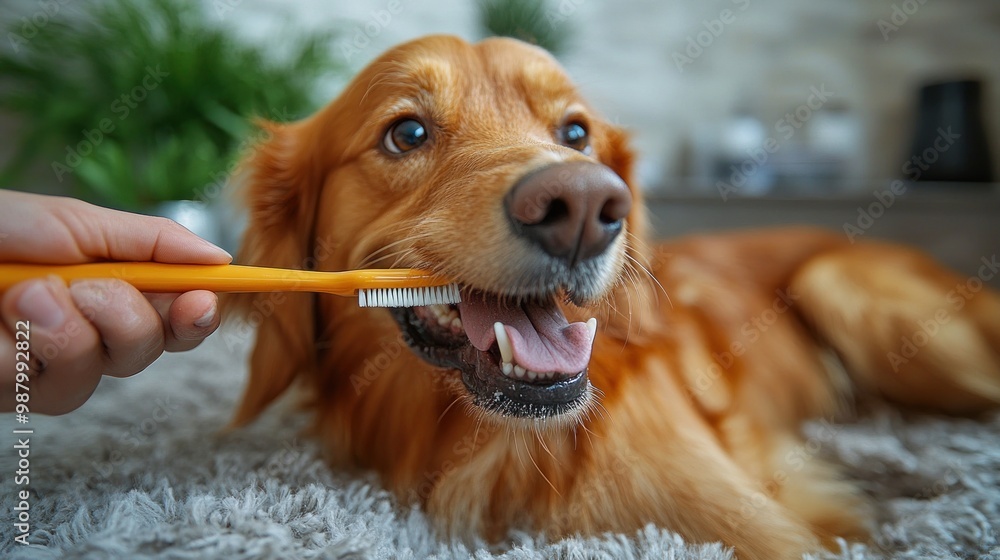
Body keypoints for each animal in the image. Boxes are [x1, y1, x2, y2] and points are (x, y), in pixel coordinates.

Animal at [232, 36, 1000, 560]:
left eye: (576, 133)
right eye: (407, 132)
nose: (582, 206)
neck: (492, 446)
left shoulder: (759, 532)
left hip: (844, 289)